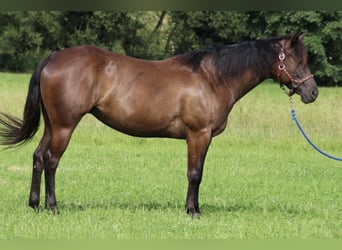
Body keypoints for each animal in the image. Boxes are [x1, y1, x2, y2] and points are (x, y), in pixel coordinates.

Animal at [0, 31, 318, 215]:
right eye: (298, 60)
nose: (312, 92)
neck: (213, 78)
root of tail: (54, 57)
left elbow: (197, 173)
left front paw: (194, 207)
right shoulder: (198, 135)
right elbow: (195, 174)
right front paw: (192, 211)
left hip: (52, 125)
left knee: (38, 157)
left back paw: (35, 205)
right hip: (65, 126)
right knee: (52, 160)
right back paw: (53, 207)